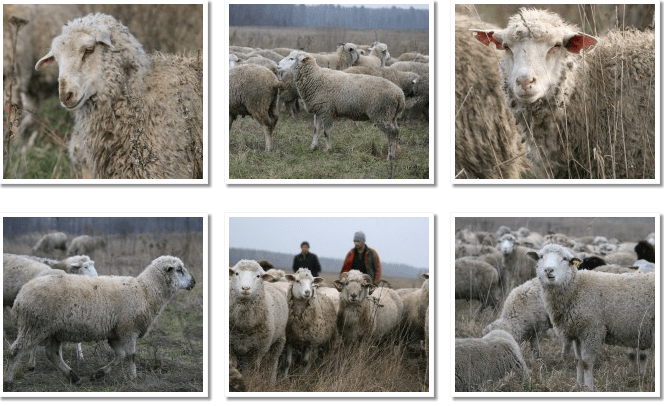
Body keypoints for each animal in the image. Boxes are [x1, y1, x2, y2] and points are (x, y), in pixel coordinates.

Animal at [3, 255, 195, 388]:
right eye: (179, 269)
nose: (193, 282)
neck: (145, 291)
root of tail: (21, 295)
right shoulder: (129, 329)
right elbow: (131, 355)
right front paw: (134, 378)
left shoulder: (115, 333)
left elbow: (121, 355)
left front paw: (99, 374)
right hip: (34, 326)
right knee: (15, 351)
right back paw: (8, 381)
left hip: (53, 330)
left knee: (52, 354)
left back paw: (73, 377)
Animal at [526, 244, 655, 390]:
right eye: (541, 256)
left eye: (564, 258)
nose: (548, 270)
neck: (576, 288)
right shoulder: (578, 333)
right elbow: (578, 360)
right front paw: (578, 385)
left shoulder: (591, 330)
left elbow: (587, 362)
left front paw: (588, 387)